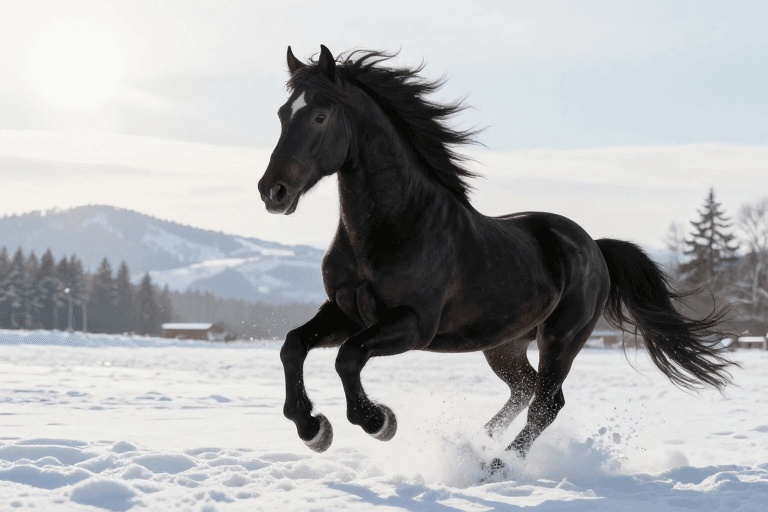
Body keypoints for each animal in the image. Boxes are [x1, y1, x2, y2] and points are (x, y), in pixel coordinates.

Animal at [257, 45, 734, 462]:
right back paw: (481, 444)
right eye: (281, 114)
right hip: (504, 344)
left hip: (561, 339)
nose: (272, 192)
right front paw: (313, 429)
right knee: (525, 390)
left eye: (320, 116)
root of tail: (594, 248)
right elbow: (293, 345)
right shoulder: (347, 312)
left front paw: (379, 421)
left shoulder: (414, 324)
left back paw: (498, 466)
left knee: (546, 403)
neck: (395, 227)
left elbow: (348, 357)